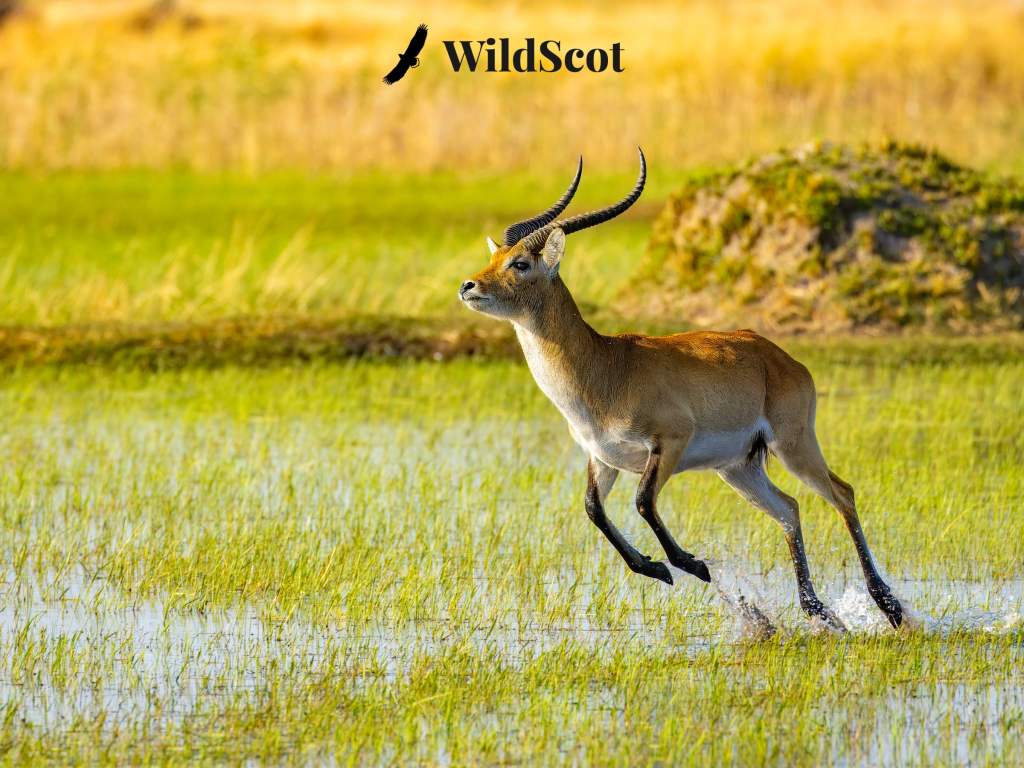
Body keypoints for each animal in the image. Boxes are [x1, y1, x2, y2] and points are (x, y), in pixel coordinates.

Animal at [459, 149, 906, 630]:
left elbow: (642, 503)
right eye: (496, 257)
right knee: (790, 508)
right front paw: (656, 567)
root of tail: (782, 357)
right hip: (740, 468)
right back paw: (819, 612)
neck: (605, 366)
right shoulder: (603, 457)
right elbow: (594, 510)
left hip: (794, 445)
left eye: (520, 263)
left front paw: (692, 565)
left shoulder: (669, 442)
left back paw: (889, 607)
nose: (468, 285)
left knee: (843, 494)